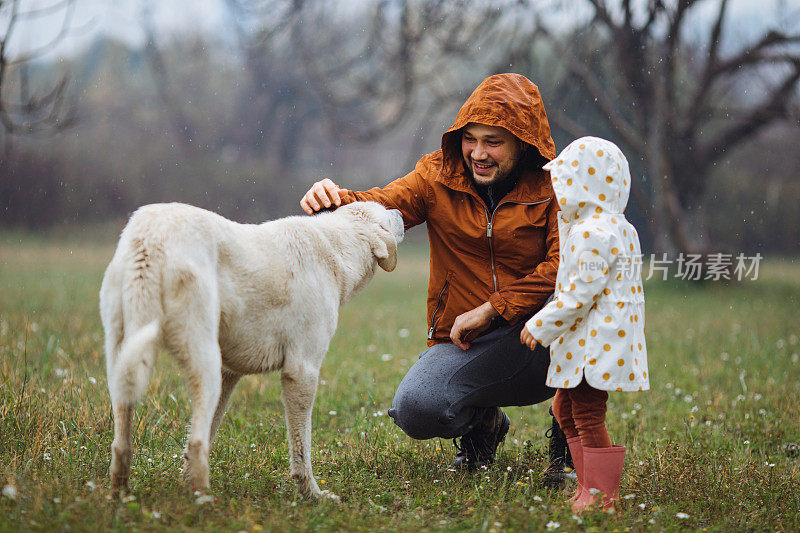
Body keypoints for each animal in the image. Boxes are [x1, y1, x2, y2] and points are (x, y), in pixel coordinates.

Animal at [98, 198, 406, 498]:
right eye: (385, 211)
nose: (401, 211)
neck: (336, 247)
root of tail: (149, 239)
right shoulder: (302, 371)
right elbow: (301, 447)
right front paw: (311, 494)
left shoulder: (229, 372)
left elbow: (209, 430)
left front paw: (182, 481)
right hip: (204, 362)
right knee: (196, 441)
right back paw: (202, 501)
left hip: (123, 363)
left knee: (123, 443)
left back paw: (122, 494)